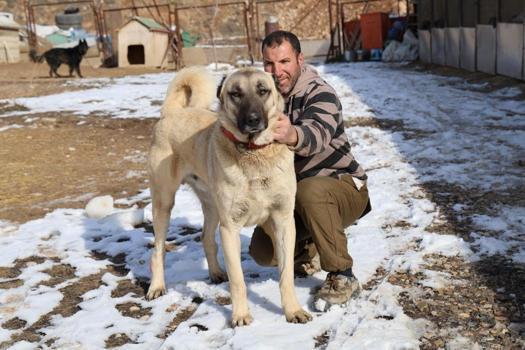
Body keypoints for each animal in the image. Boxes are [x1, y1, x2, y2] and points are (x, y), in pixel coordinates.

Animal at [145, 67, 312, 326]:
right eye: (236, 94)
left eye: (263, 90)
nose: (253, 119)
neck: (254, 154)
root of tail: (173, 112)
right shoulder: (230, 227)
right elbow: (238, 280)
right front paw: (240, 315)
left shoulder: (283, 222)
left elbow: (286, 275)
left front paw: (293, 310)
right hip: (164, 203)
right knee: (158, 251)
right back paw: (156, 286)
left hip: (212, 207)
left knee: (206, 238)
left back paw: (214, 273)